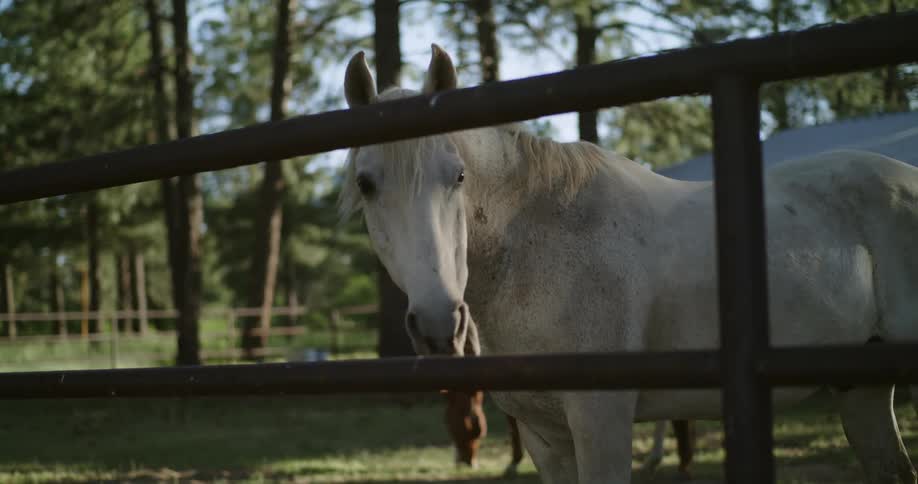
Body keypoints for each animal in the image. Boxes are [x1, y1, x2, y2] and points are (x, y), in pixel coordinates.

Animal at [340, 45, 918, 483]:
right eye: (366, 185)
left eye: (458, 176)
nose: (440, 322)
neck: (538, 250)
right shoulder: (547, 439)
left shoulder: (602, 422)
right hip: (862, 395)